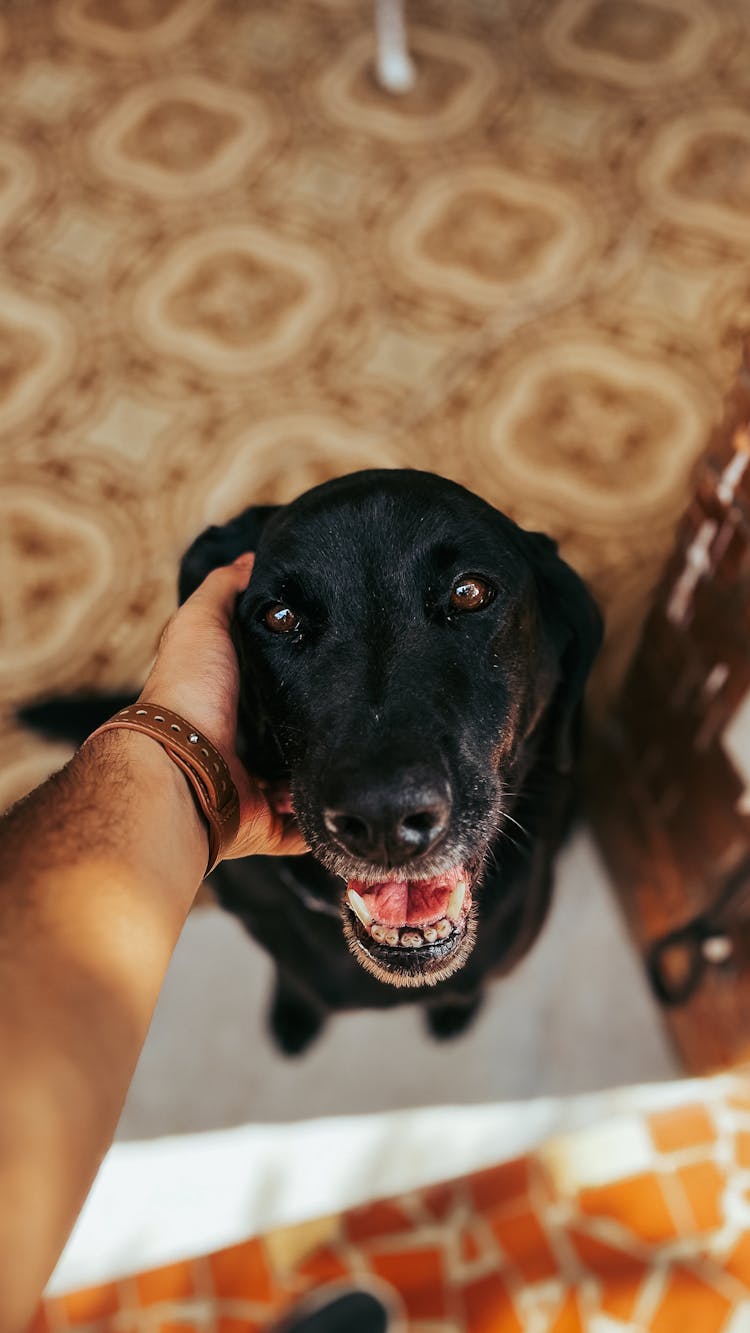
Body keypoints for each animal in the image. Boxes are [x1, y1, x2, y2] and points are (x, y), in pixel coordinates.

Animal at [20, 469, 602, 1050]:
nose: (384, 817)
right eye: (280, 617)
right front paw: (295, 1015)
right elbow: (294, 975)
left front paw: (455, 1012)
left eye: (470, 592)